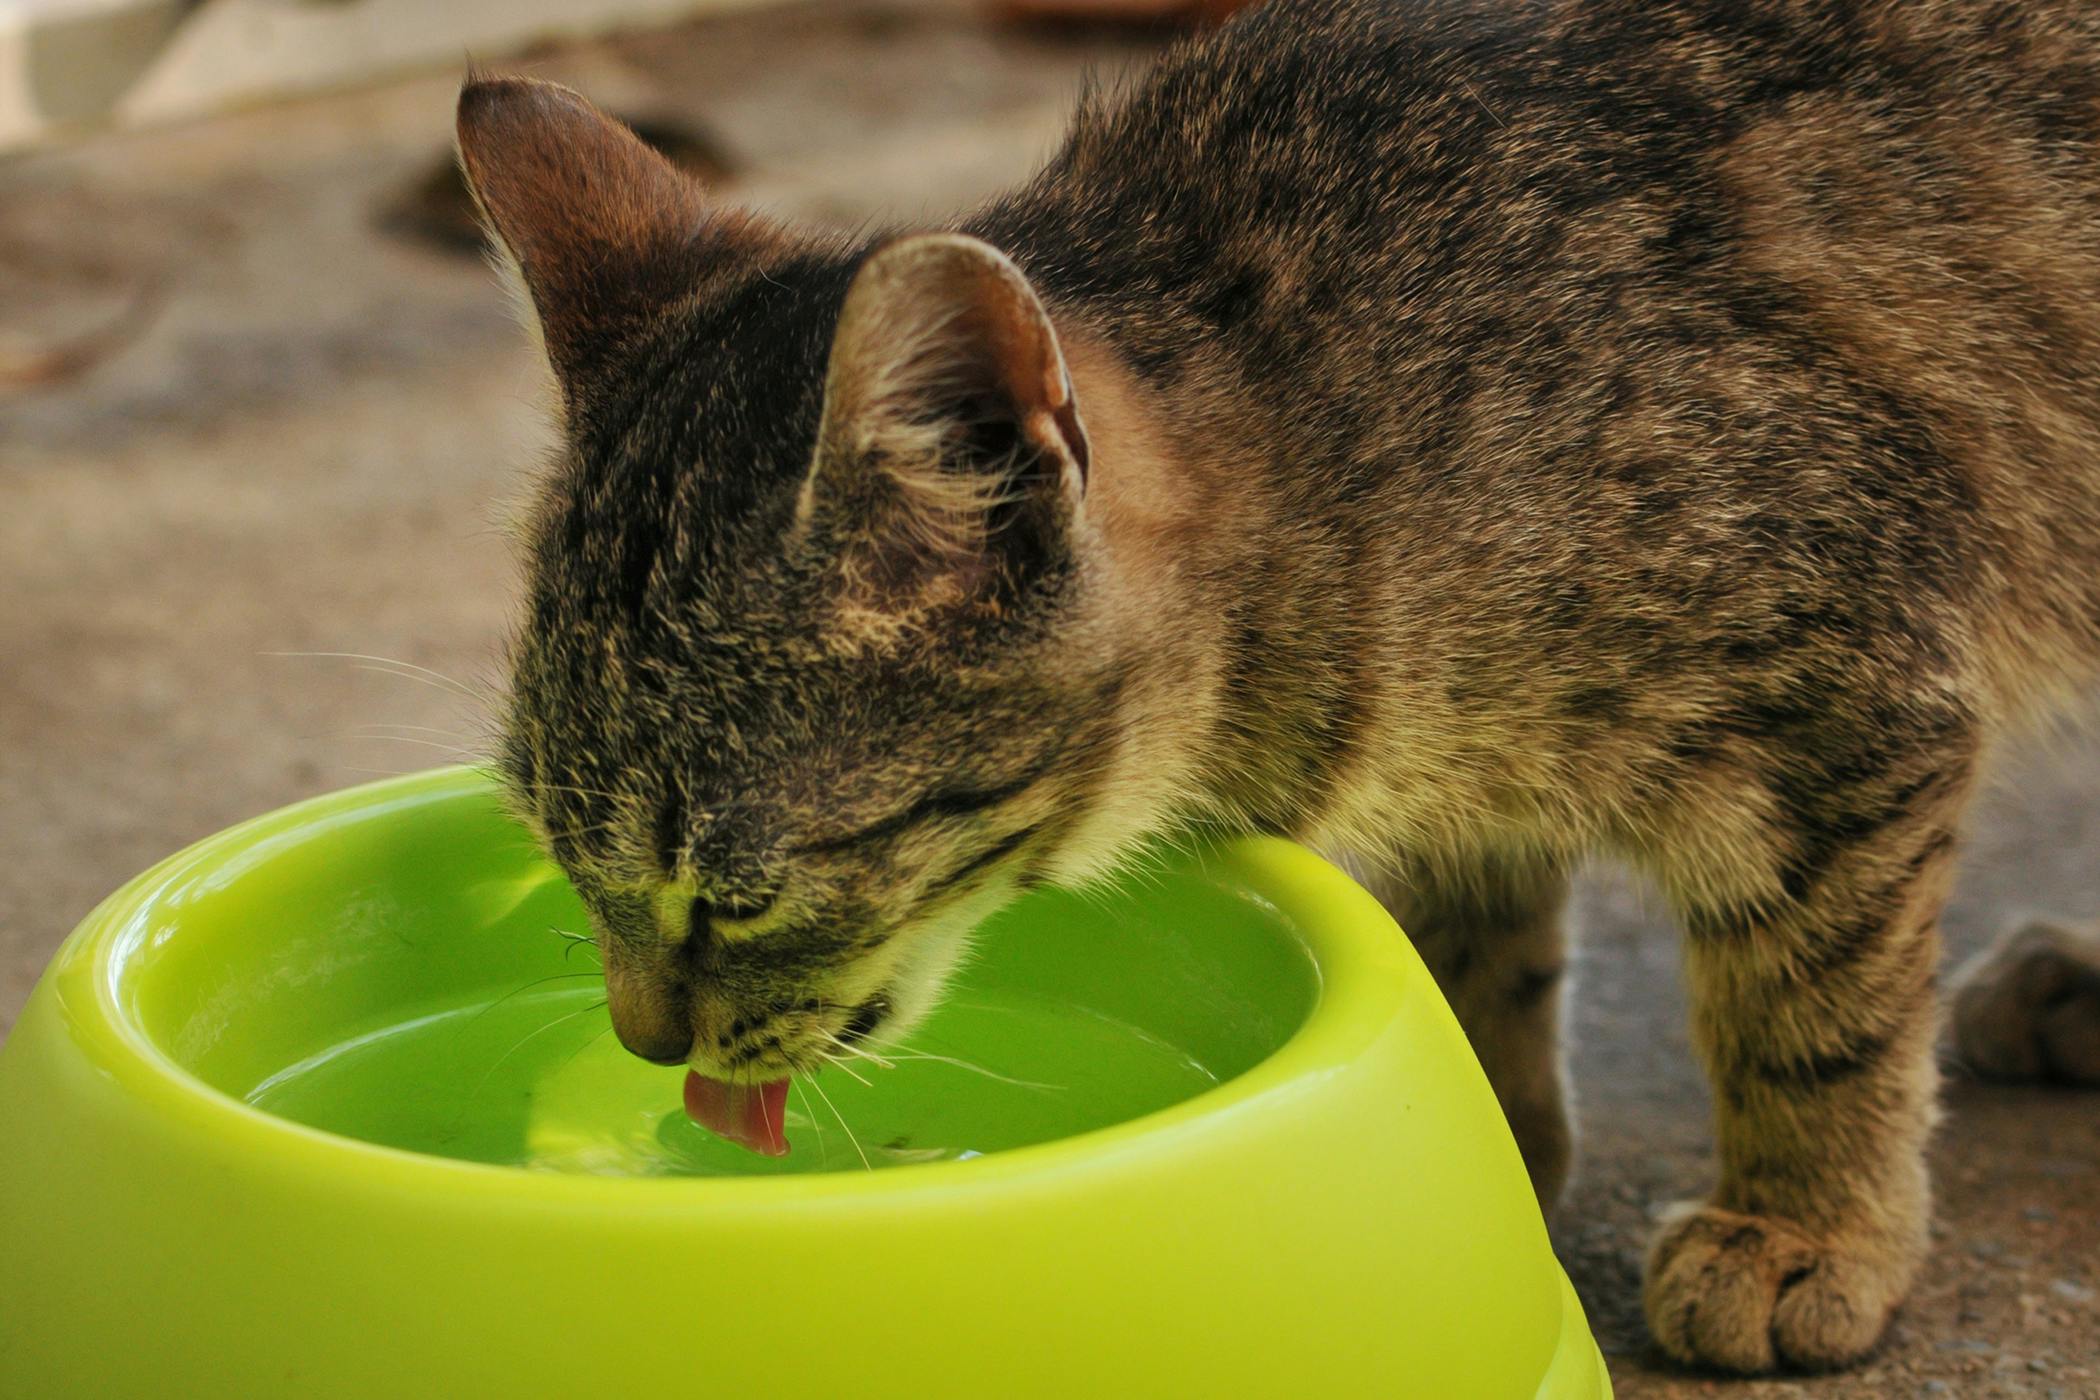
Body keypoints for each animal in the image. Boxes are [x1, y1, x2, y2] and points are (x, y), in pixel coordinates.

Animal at [459, 0, 2100, 1376]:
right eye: (556, 850)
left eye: (736, 896)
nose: (641, 1038)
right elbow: (1475, 938)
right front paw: (1483, 1127)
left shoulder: (1853, 677)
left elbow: (1813, 999)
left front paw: (1805, 1221)